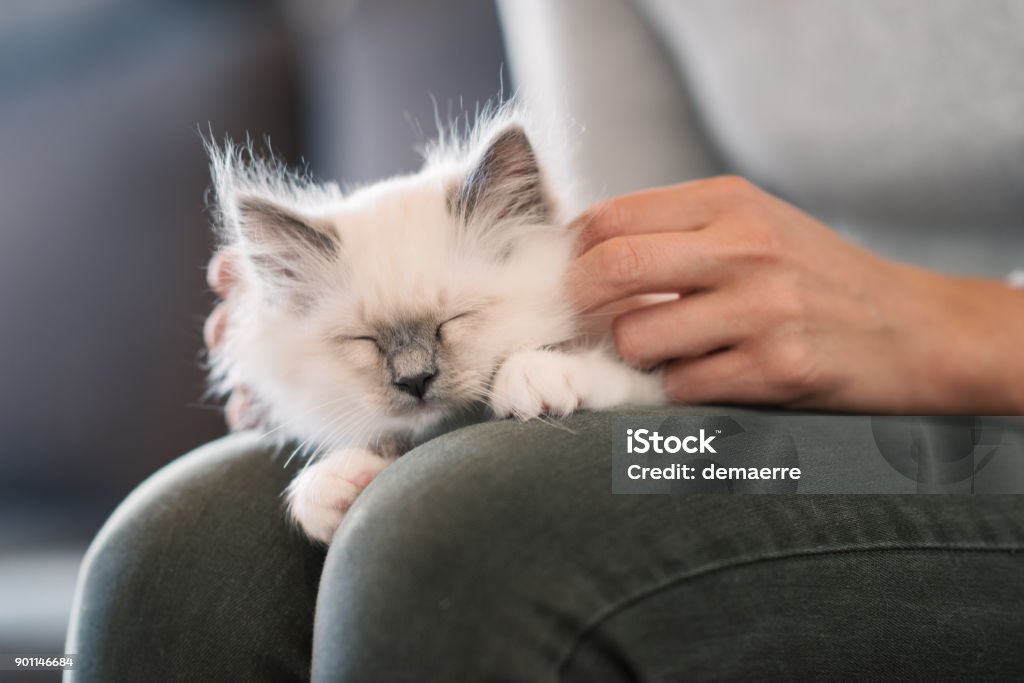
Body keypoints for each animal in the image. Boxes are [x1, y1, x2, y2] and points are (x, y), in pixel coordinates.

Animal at [205, 109, 663, 540]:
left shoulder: (656, 376)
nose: (414, 380)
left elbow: (613, 375)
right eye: (364, 341)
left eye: (453, 320)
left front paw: (537, 375)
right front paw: (332, 488)